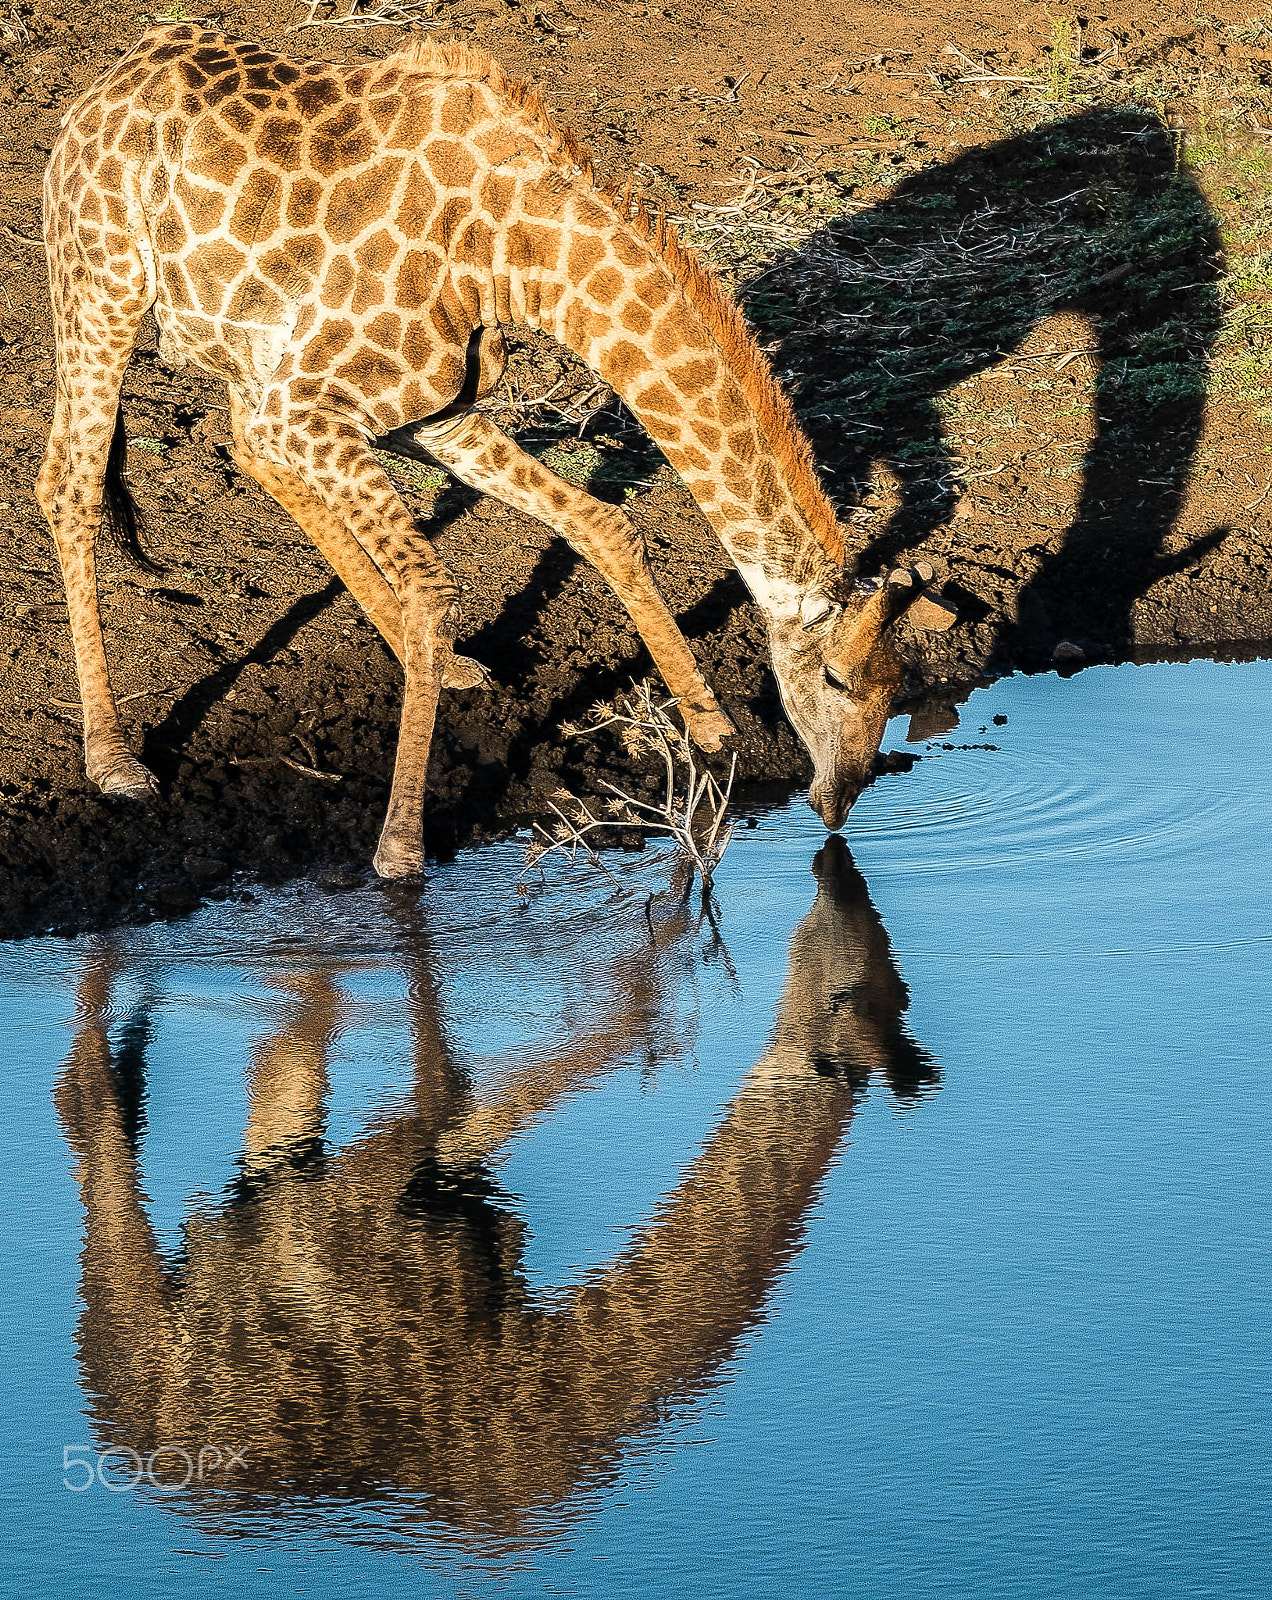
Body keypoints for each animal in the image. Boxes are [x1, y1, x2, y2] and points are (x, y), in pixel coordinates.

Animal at [39, 25, 953, 876]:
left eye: (896, 689)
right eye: (836, 681)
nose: (837, 801)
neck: (516, 257)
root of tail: (107, 82)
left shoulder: (432, 412)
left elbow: (604, 526)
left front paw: (712, 728)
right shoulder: (311, 404)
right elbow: (432, 586)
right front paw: (400, 849)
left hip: (237, 345)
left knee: (238, 449)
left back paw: (450, 670)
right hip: (101, 287)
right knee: (69, 484)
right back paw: (114, 762)